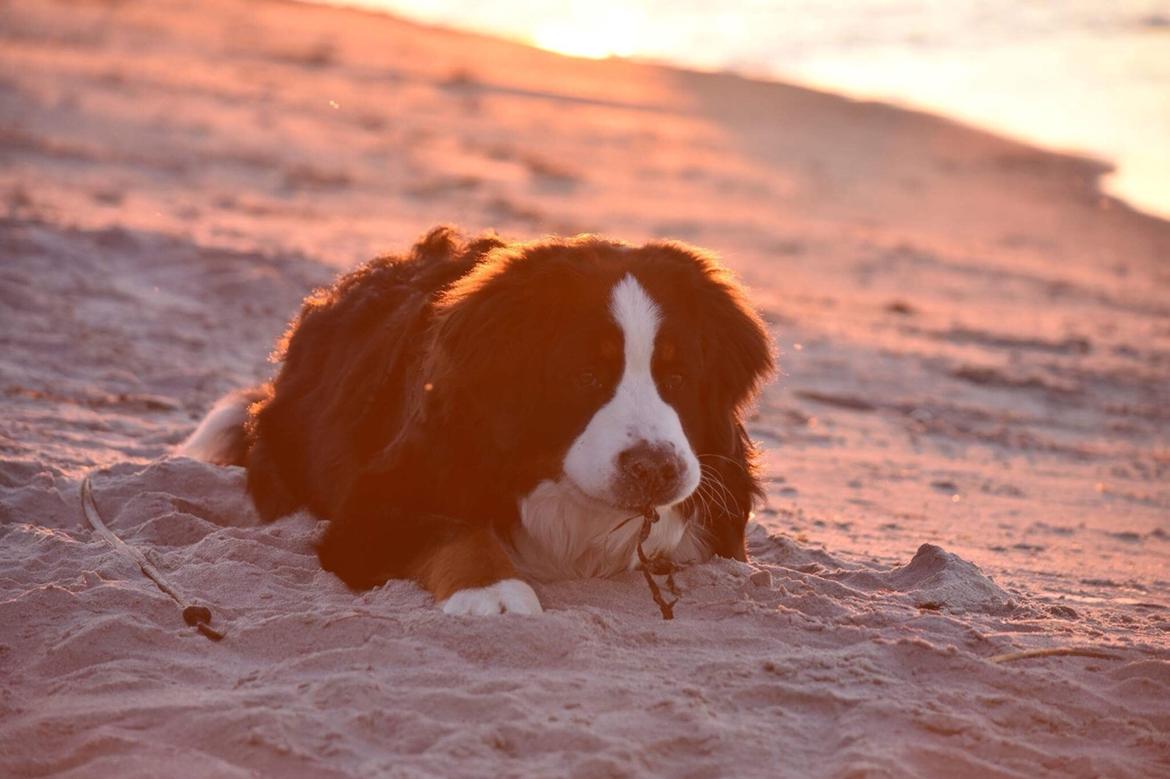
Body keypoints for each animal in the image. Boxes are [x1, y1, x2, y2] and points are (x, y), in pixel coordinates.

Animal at [177, 224, 772, 612]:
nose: (655, 468)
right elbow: (455, 530)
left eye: (679, 377)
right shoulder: (372, 506)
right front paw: (494, 592)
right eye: (585, 376)